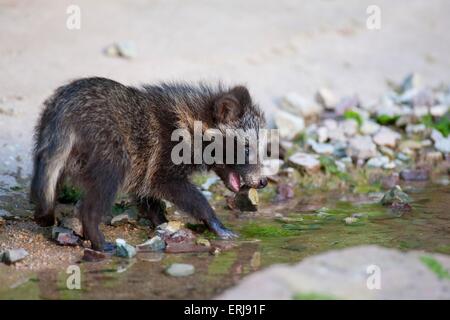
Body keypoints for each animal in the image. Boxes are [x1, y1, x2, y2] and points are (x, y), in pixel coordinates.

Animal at [30, 77, 268, 252]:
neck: (193, 120)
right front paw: (212, 219)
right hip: (106, 142)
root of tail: (65, 115)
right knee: (107, 180)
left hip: (45, 137)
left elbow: (145, 193)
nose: (263, 182)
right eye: (247, 149)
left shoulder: (145, 166)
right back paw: (95, 232)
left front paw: (161, 220)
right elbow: (174, 188)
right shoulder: (166, 155)